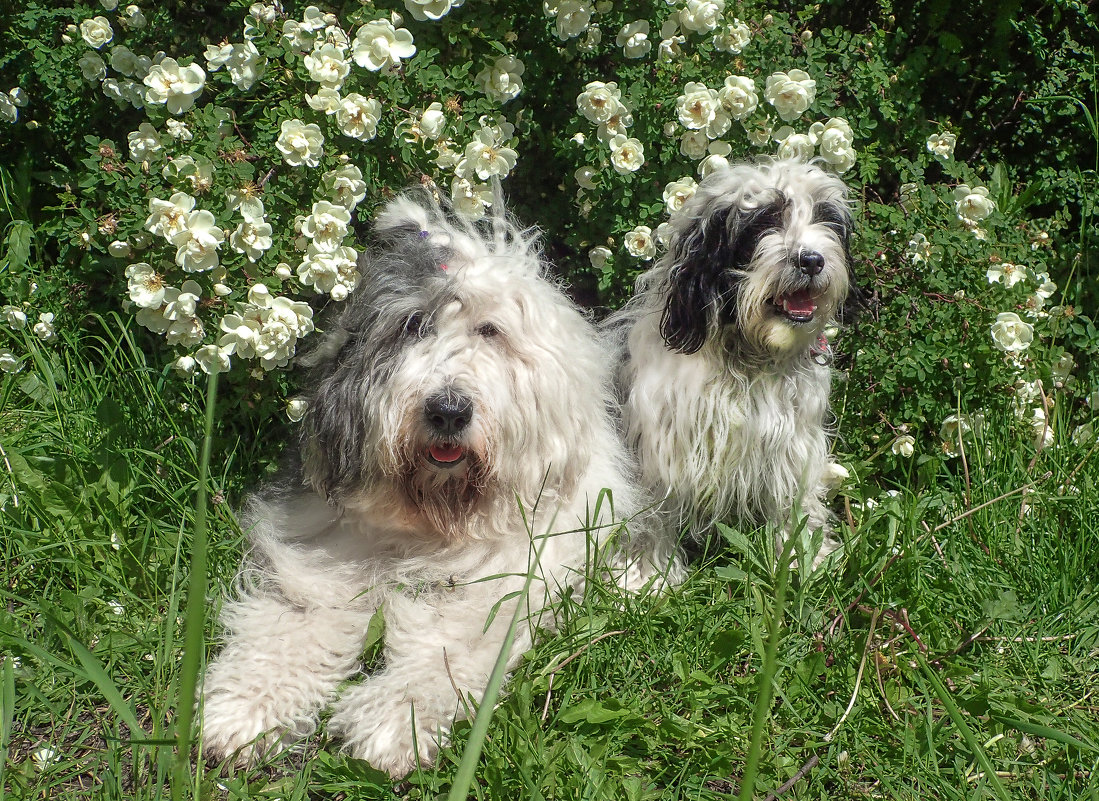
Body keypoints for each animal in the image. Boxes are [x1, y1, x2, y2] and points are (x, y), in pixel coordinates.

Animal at [200, 187, 676, 773]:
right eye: (412, 326)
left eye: (490, 331)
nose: (447, 411)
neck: (428, 524)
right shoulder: (322, 563)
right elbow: (292, 625)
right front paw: (243, 709)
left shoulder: (498, 583)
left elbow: (441, 649)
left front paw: (392, 724)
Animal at [611, 159, 857, 566]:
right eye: (763, 221)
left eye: (826, 219)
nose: (811, 260)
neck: (747, 357)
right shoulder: (661, 454)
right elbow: (650, 518)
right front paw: (644, 573)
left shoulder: (791, 445)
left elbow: (795, 505)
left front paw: (806, 559)